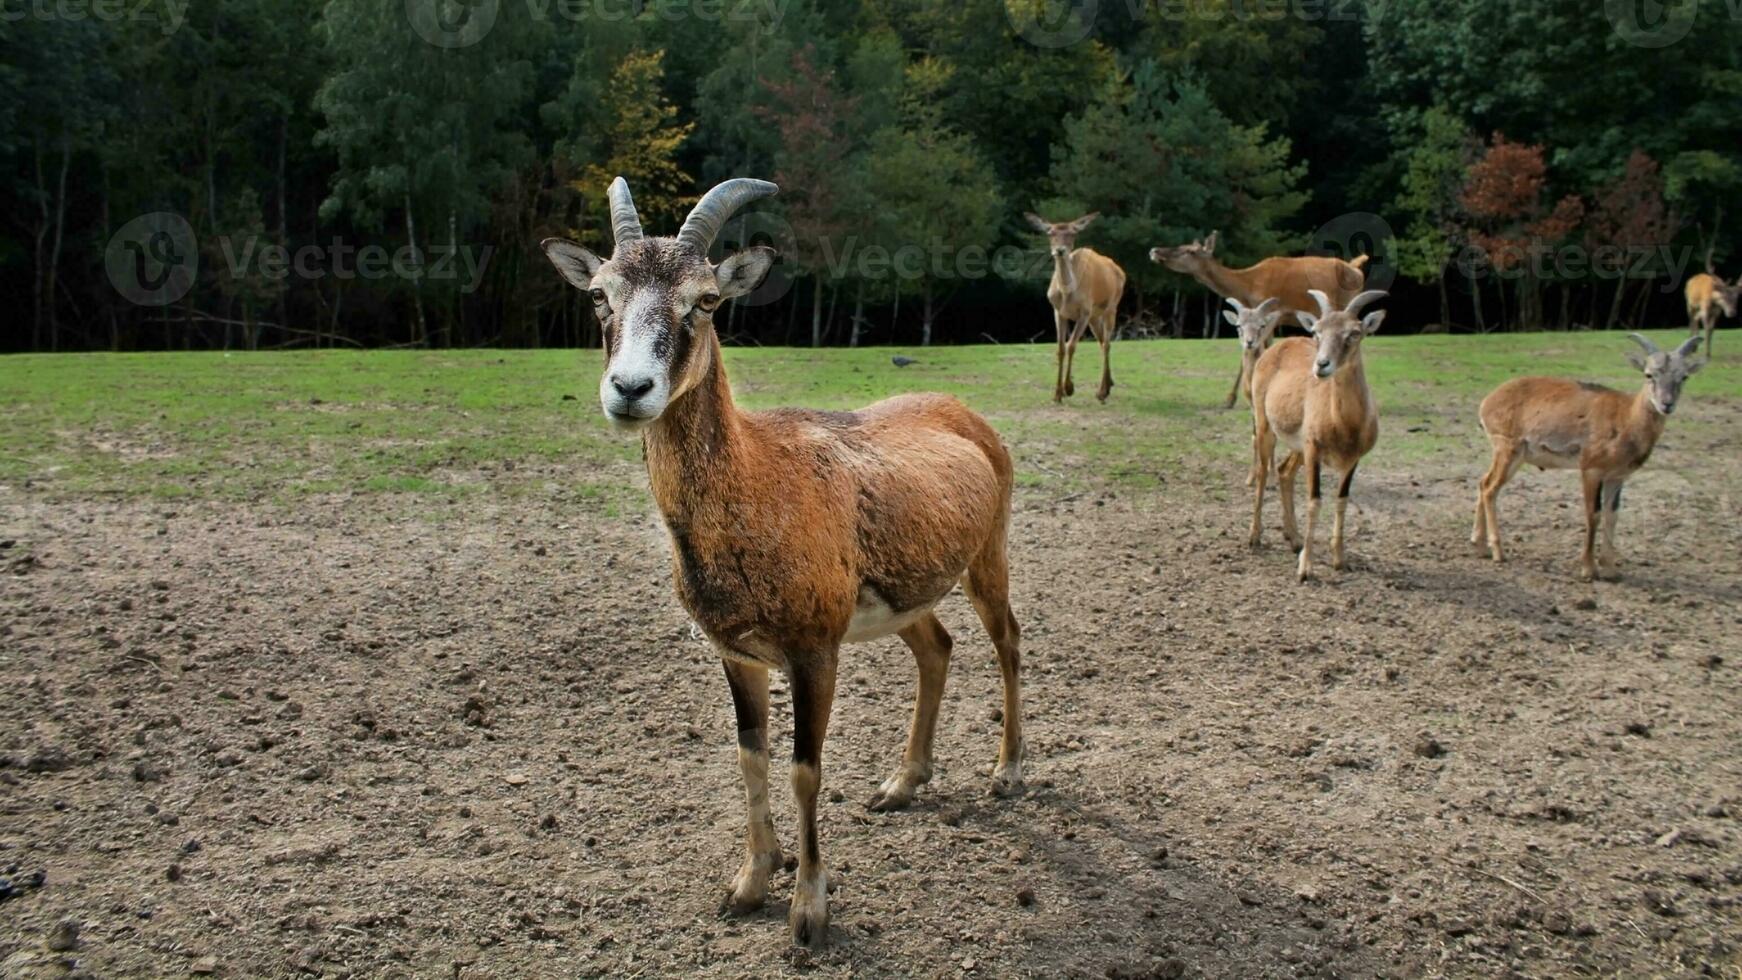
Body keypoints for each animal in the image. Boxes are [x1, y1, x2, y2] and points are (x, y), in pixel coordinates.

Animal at [543, 178, 1024, 953]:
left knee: (1007, 638)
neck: (760, 480)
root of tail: (969, 418)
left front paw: (809, 912)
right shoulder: (737, 652)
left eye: (707, 300)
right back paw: (901, 785)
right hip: (908, 597)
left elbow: (805, 768)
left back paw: (1007, 772)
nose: (630, 389)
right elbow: (751, 757)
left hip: (989, 555)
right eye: (599, 296)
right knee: (937, 646)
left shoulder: (814, 647)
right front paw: (746, 886)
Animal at [1024, 213, 1121, 403]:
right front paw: (1057, 394)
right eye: (1050, 233)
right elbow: (1061, 348)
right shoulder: (1057, 312)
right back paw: (1109, 384)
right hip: (1094, 316)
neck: (1067, 294)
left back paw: (1101, 391)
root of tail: (1119, 270)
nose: (1060, 250)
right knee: (1101, 341)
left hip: (1111, 307)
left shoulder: (1084, 312)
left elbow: (1071, 346)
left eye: (1072, 233)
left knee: (1107, 343)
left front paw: (1069, 388)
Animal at [1149, 231, 1365, 409]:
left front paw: (1232, 398)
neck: (1247, 288)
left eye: (1190, 251)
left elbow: (1255, 350)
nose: (1154, 250)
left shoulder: (1271, 313)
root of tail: (1357, 270)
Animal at [1254, 290, 1386, 581]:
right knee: (1263, 473)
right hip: (1265, 426)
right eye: (1316, 331)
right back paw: (1254, 537)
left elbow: (1342, 500)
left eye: (1354, 332)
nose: (1321, 365)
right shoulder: (1314, 450)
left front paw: (1339, 560)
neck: (1344, 425)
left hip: (1298, 447)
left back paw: (1294, 540)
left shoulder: (1352, 459)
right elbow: (1314, 501)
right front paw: (1305, 570)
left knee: (1284, 472)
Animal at [1470, 337, 1700, 581]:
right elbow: (1593, 514)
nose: (1666, 404)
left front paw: (1610, 570)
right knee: (1490, 488)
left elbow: (1612, 515)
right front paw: (1589, 569)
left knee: (1483, 482)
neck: (1626, 418)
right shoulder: (1591, 469)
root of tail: (1487, 402)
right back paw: (1498, 552)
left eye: (1684, 376)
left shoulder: (1617, 476)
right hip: (1507, 449)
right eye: (1649, 374)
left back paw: (1480, 546)